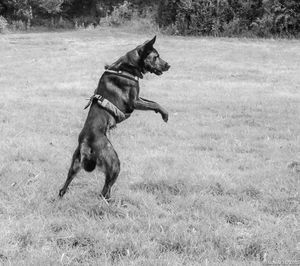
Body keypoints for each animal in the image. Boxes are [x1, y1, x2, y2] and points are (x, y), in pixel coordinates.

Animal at [58, 35, 170, 200]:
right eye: (156, 57)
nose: (168, 65)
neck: (127, 66)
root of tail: (85, 141)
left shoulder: (139, 98)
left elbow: (151, 101)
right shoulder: (134, 102)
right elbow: (154, 103)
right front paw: (164, 114)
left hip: (75, 166)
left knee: (64, 187)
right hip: (114, 164)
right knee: (104, 191)